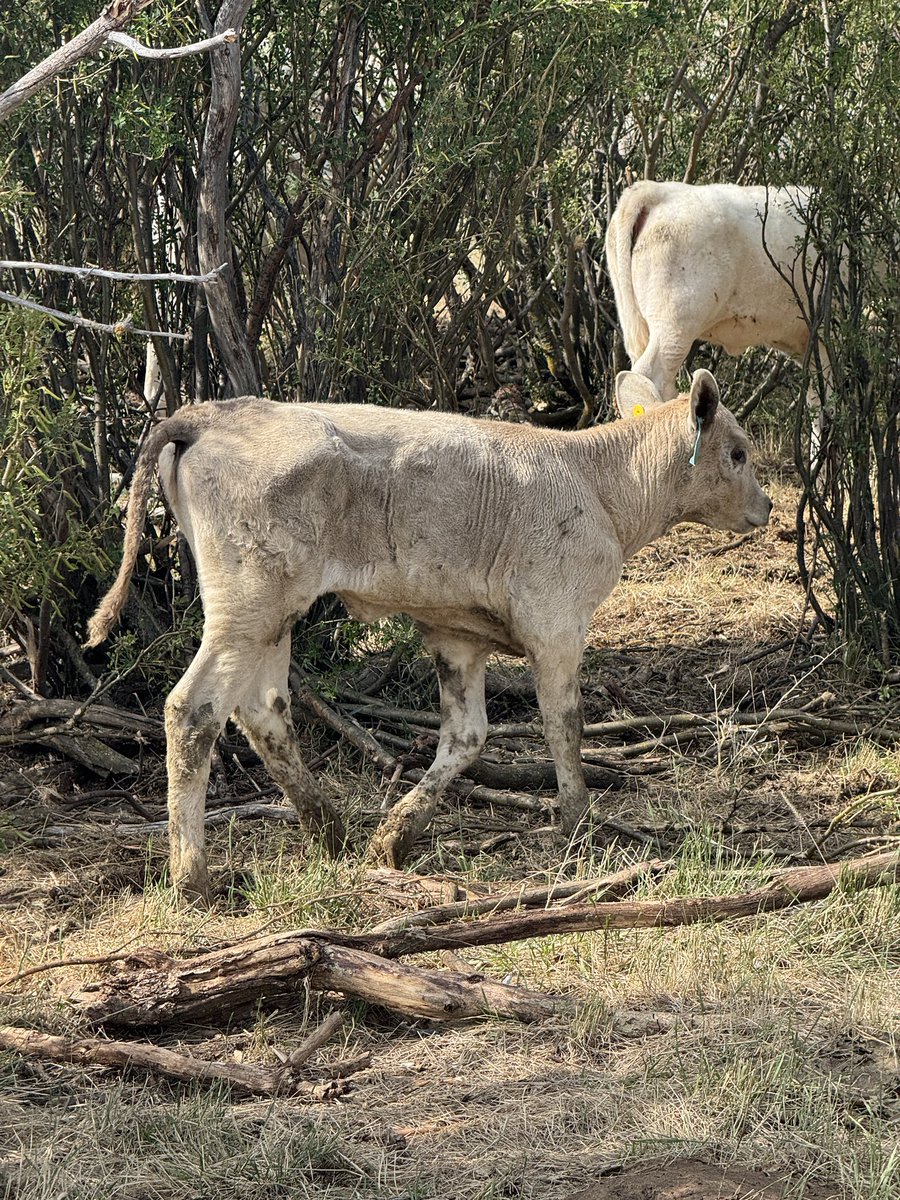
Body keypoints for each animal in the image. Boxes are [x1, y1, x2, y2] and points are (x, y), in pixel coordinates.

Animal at [87, 371, 771, 900]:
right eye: (737, 452)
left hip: (268, 610)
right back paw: (194, 877)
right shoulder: (558, 621)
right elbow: (564, 723)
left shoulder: (456, 635)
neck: (599, 481)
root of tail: (206, 416)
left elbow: (466, 736)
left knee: (263, 710)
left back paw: (332, 831)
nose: (765, 507)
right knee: (193, 709)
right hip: (248, 602)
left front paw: (395, 838)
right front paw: (580, 826)